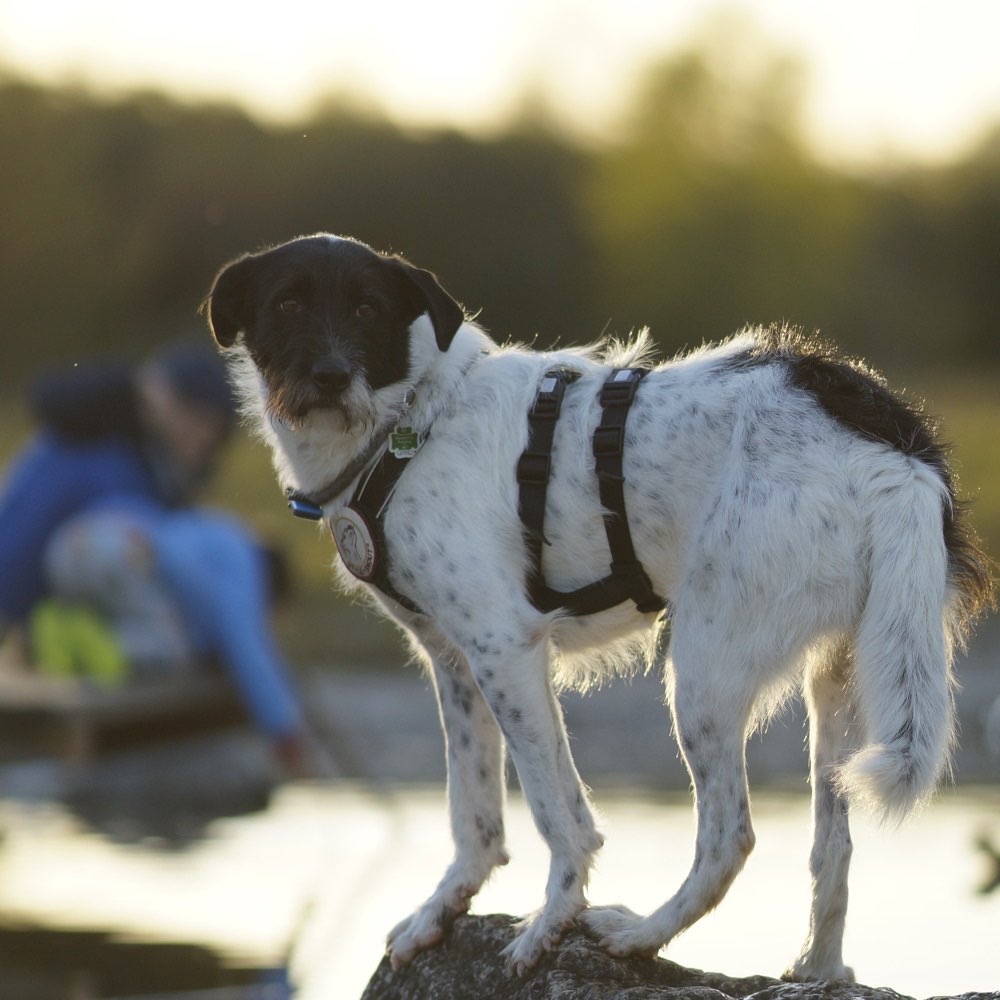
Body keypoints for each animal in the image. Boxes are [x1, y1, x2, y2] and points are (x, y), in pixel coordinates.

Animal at [205, 238, 992, 980]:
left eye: (367, 308)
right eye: (286, 304)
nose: (330, 376)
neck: (413, 420)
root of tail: (898, 455)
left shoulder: (505, 652)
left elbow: (557, 811)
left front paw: (552, 920)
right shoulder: (454, 663)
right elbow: (474, 814)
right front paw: (442, 910)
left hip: (702, 673)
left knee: (729, 837)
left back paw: (641, 934)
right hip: (842, 681)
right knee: (833, 848)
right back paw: (817, 969)